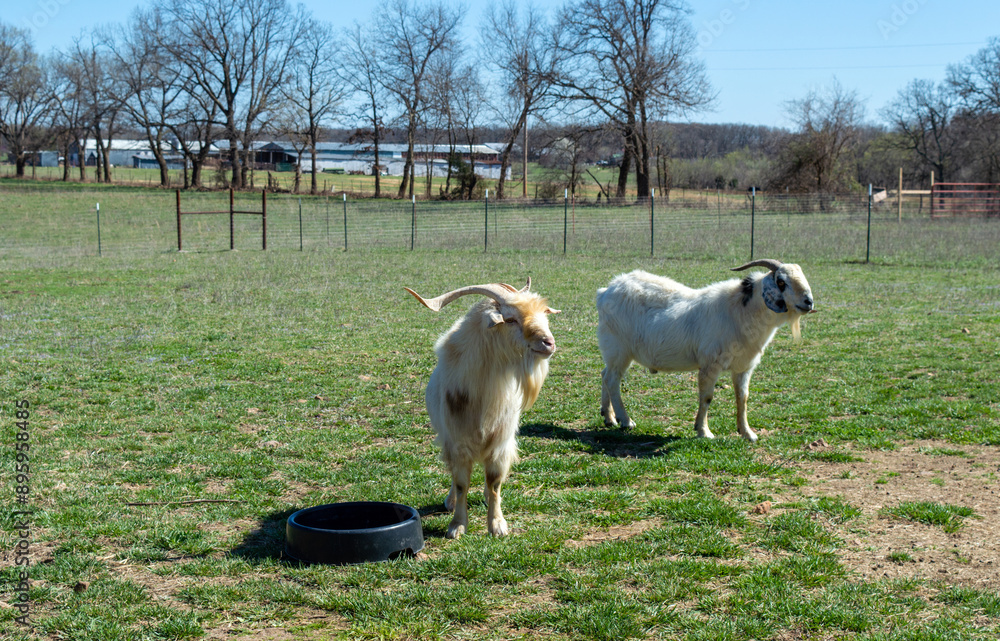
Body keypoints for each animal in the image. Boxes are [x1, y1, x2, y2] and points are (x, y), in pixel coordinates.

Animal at [406, 278, 559, 538]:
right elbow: (461, 483)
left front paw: (497, 525)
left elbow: (494, 481)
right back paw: (450, 502)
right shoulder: (457, 441)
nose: (548, 343)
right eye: (510, 319)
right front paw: (457, 525)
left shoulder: (501, 442)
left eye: (543, 314)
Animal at [596, 259, 815, 442]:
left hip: (614, 353)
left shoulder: (743, 367)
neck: (740, 311)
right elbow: (707, 397)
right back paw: (626, 421)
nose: (809, 302)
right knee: (612, 380)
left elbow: (742, 398)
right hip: (619, 350)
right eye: (781, 282)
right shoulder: (711, 365)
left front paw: (747, 433)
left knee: (605, 375)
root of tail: (605, 291)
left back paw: (609, 417)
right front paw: (704, 431)